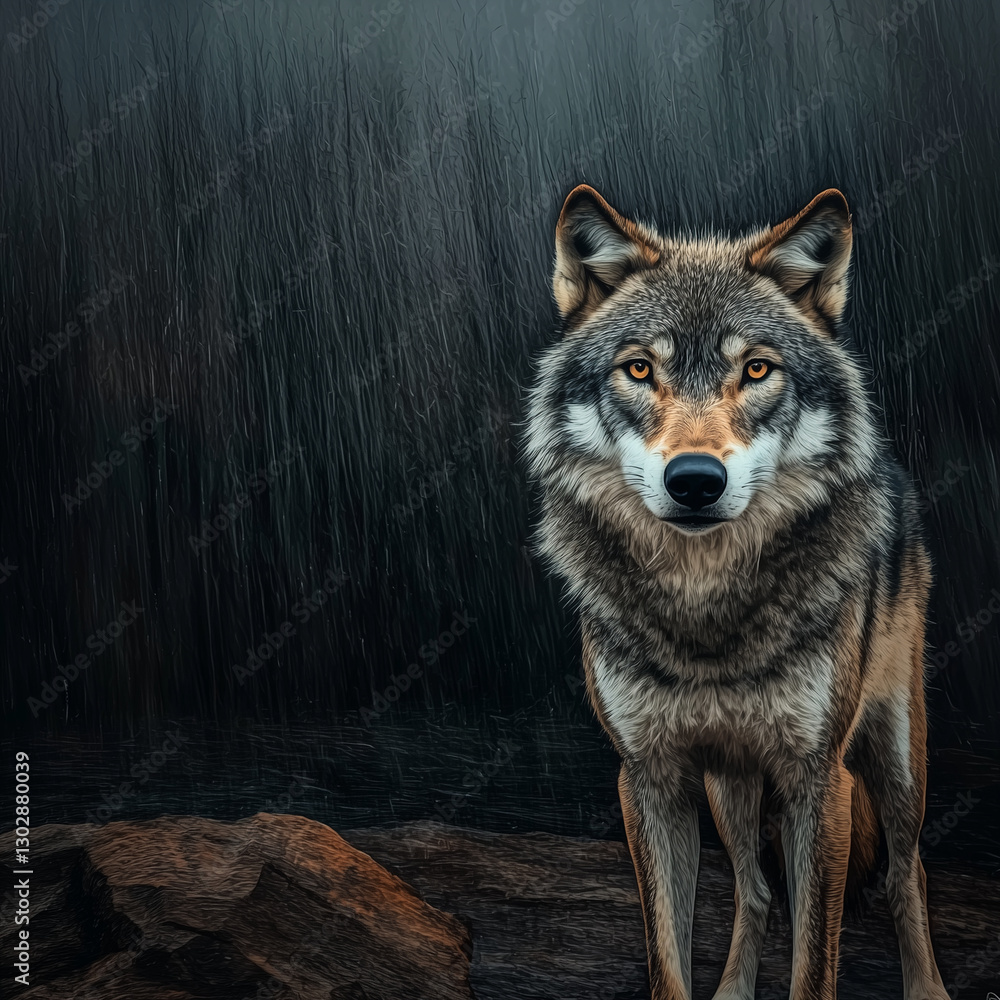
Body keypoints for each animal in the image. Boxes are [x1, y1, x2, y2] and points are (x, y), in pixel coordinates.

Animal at [526, 185, 949, 1000]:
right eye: (638, 370)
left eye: (756, 370)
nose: (695, 480)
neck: (705, 611)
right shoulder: (649, 780)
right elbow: (668, 957)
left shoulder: (820, 780)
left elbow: (815, 964)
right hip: (730, 786)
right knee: (753, 888)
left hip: (897, 756)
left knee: (905, 873)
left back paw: (928, 987)